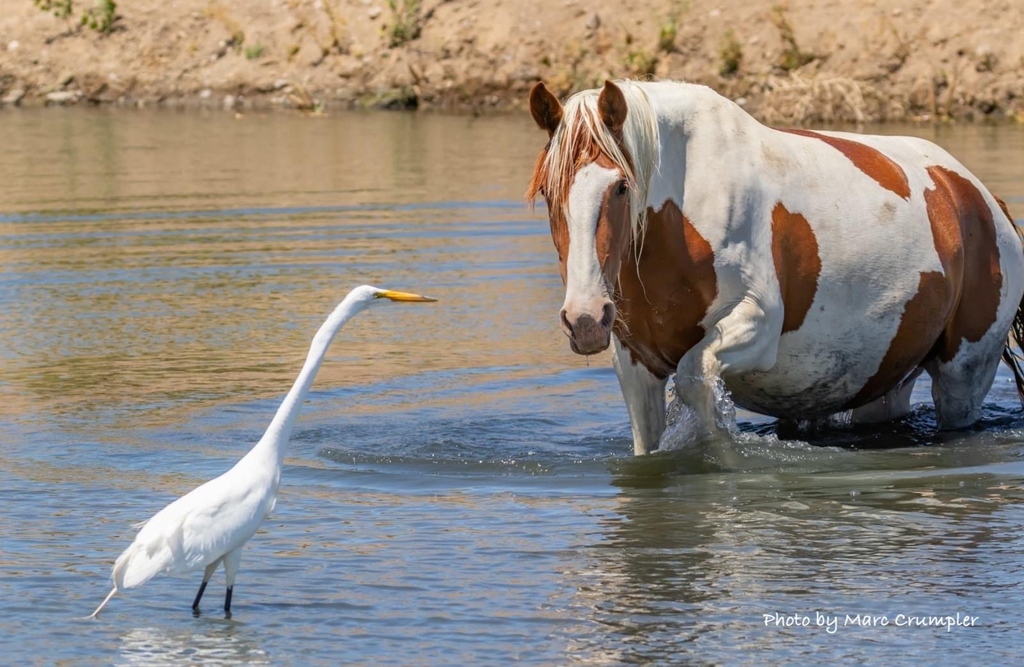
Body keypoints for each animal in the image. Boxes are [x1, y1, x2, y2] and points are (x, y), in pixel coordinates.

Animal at [527, 78, 1024, 456]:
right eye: (548, 191)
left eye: (621, 187)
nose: (586, 319)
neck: (682, 212)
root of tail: (977, 196)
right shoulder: (635, 362)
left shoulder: (756, 325)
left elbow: (695, 382)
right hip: (889, 379)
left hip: (965, 376)